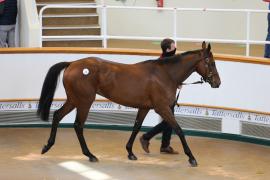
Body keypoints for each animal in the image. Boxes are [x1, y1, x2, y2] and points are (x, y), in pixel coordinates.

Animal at [37, 41, 219, 167]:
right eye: (211, 62)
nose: (218, 82)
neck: (165, 74)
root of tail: (72, 64)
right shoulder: (162, 108)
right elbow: (178, 129)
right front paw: (192, 157)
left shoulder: (145, 107)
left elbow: (136, 127)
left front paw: (130, 152)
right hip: (84, 101)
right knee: (78, 125)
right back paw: (90, 155)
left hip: (74, 100)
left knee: (57, 116)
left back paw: (47, 146)